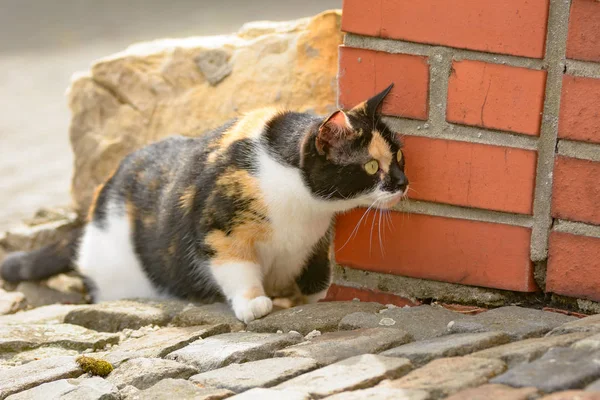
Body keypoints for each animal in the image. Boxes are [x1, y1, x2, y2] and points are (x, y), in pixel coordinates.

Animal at [0, 83, 408, 322]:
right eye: (372, 166)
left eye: (400, 156)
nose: (403, 183)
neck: (303, 204)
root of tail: (89, 217)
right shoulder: (218, 228)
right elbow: (236, 266)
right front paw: (253, 303)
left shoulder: (317, 243)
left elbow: (317, 272)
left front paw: (316, 298)